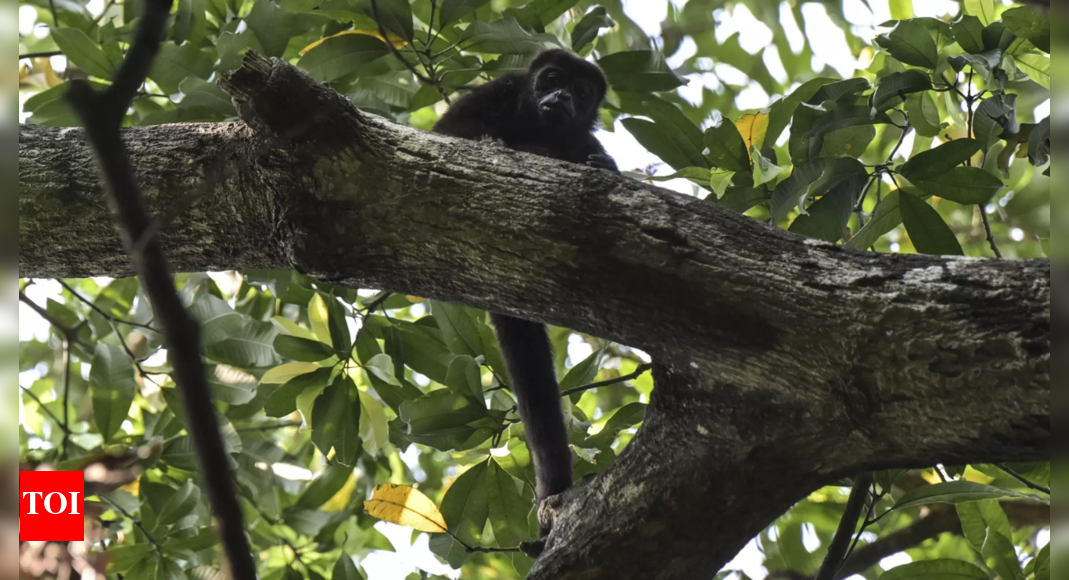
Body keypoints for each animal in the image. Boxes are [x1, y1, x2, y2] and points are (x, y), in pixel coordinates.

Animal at [433, 49, 618, 537]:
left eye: (582, 92)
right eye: (551, 79)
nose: (562, 96)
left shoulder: (582, 136)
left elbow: (598, 159)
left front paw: (599, 167)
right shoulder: (494, 92)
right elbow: (448, 134)